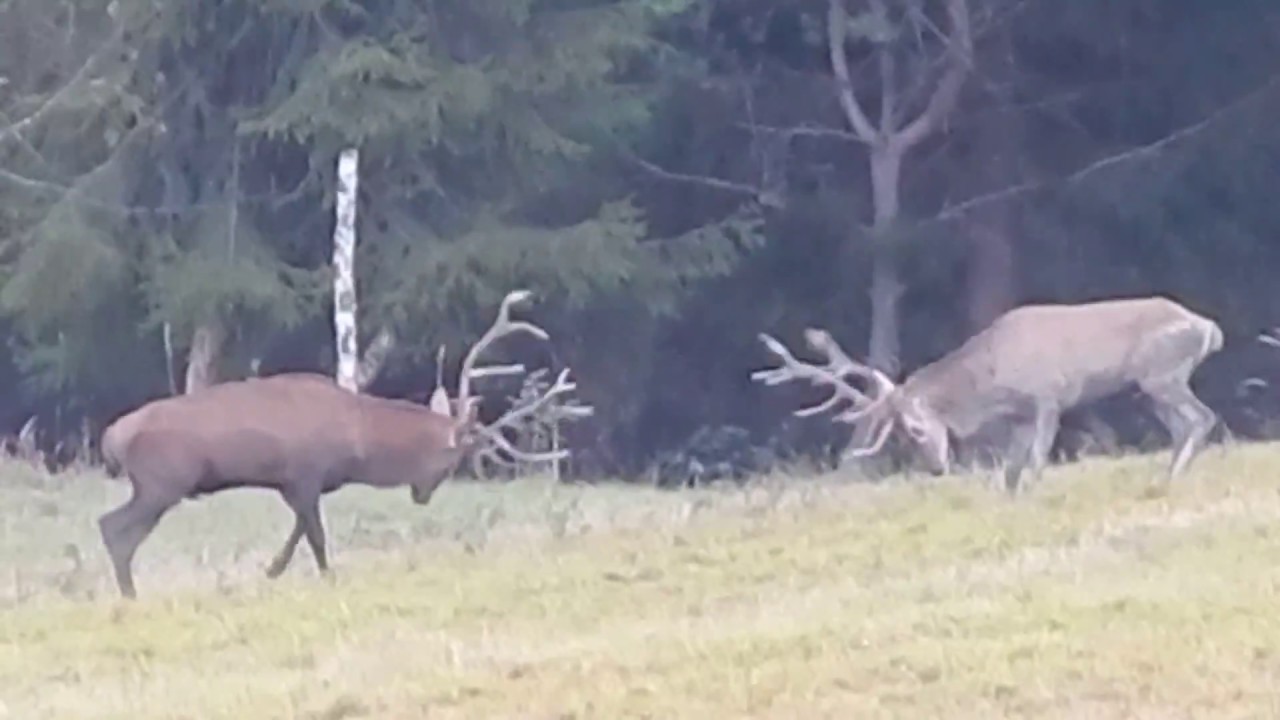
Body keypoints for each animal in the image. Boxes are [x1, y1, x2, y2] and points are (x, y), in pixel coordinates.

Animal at [97, 290, 590, 599]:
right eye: (453, 458)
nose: (423, 494)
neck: (355, 443)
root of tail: (111, 437)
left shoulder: (300, 483)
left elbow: (301, 529)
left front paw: (272, 570)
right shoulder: (304, 474)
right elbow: (315, 535)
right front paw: (323, 576)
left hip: (157, 486)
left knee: (115, 529)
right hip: (162, 481)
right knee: (113, 527)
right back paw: (130, 595)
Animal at [752, 295, 1223, 495]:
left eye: (915, 428)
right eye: (900, 435)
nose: (937, 469)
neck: (992, 378)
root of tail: (1208, 328)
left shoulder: (1048, 395)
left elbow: (1035, 459)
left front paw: (1034, 492)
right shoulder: (1019, 415)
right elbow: (1010, 468)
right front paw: (1008, 497)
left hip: (1161, 373)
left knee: (1202, 417)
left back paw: (1173, 477)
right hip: (1154, 384)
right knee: (1183, 425)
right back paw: (1165, 476)